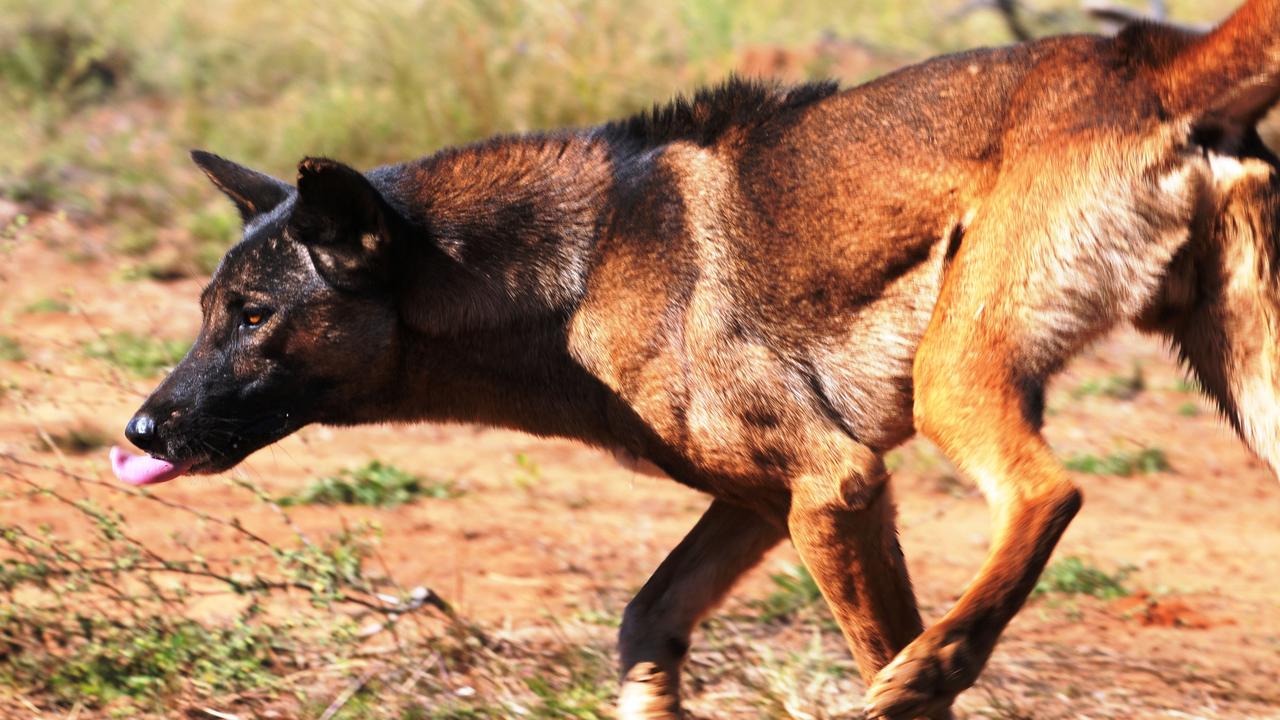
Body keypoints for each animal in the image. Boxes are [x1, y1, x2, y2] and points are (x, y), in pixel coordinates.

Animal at [112, 2, 1280, 712]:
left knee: (1047, 496)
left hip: (956, 383)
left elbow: (883, 644)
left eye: (252, 317)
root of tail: (1147, 55)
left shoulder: (836, 486)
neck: (576, 271)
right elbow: (644, 623)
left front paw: (916, 678)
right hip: (1250, 398)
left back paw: (928, 666)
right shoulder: (766, 505)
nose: (138, 431)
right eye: (206, 311)